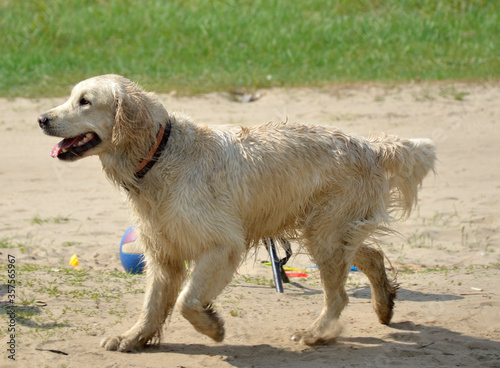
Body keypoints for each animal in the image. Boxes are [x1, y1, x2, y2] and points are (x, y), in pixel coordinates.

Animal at [39, 74, 436, 350]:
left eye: (85, 101)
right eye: (71, 97)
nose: (42, 118)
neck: (159, 154)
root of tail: (370, 146)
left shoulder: (223, 245)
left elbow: (186, 300)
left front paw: (212, 327)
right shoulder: (163, 251)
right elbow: (153, 304)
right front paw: (133, 338)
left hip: (324, 230)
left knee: (338, 294)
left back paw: (315, 333)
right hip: (330, 229)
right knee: (370, 254)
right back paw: (384, 304)